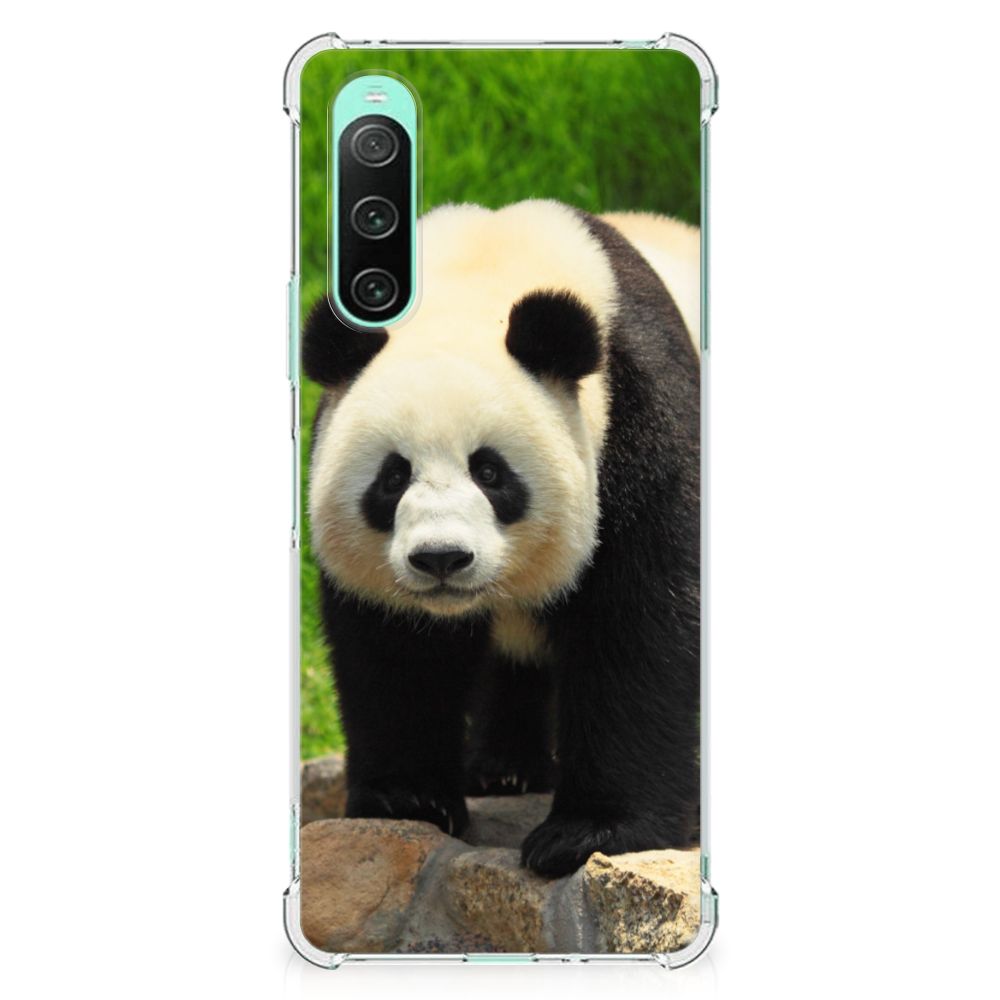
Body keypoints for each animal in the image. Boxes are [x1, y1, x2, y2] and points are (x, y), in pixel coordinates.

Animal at [303, 199, 700, 877]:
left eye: (489, 472)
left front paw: (588, 832)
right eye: (392, 477)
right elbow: (394, 650)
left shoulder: (641, 418)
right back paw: (504, 769)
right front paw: (408, 799)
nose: (441, 558)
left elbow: (642, 623)